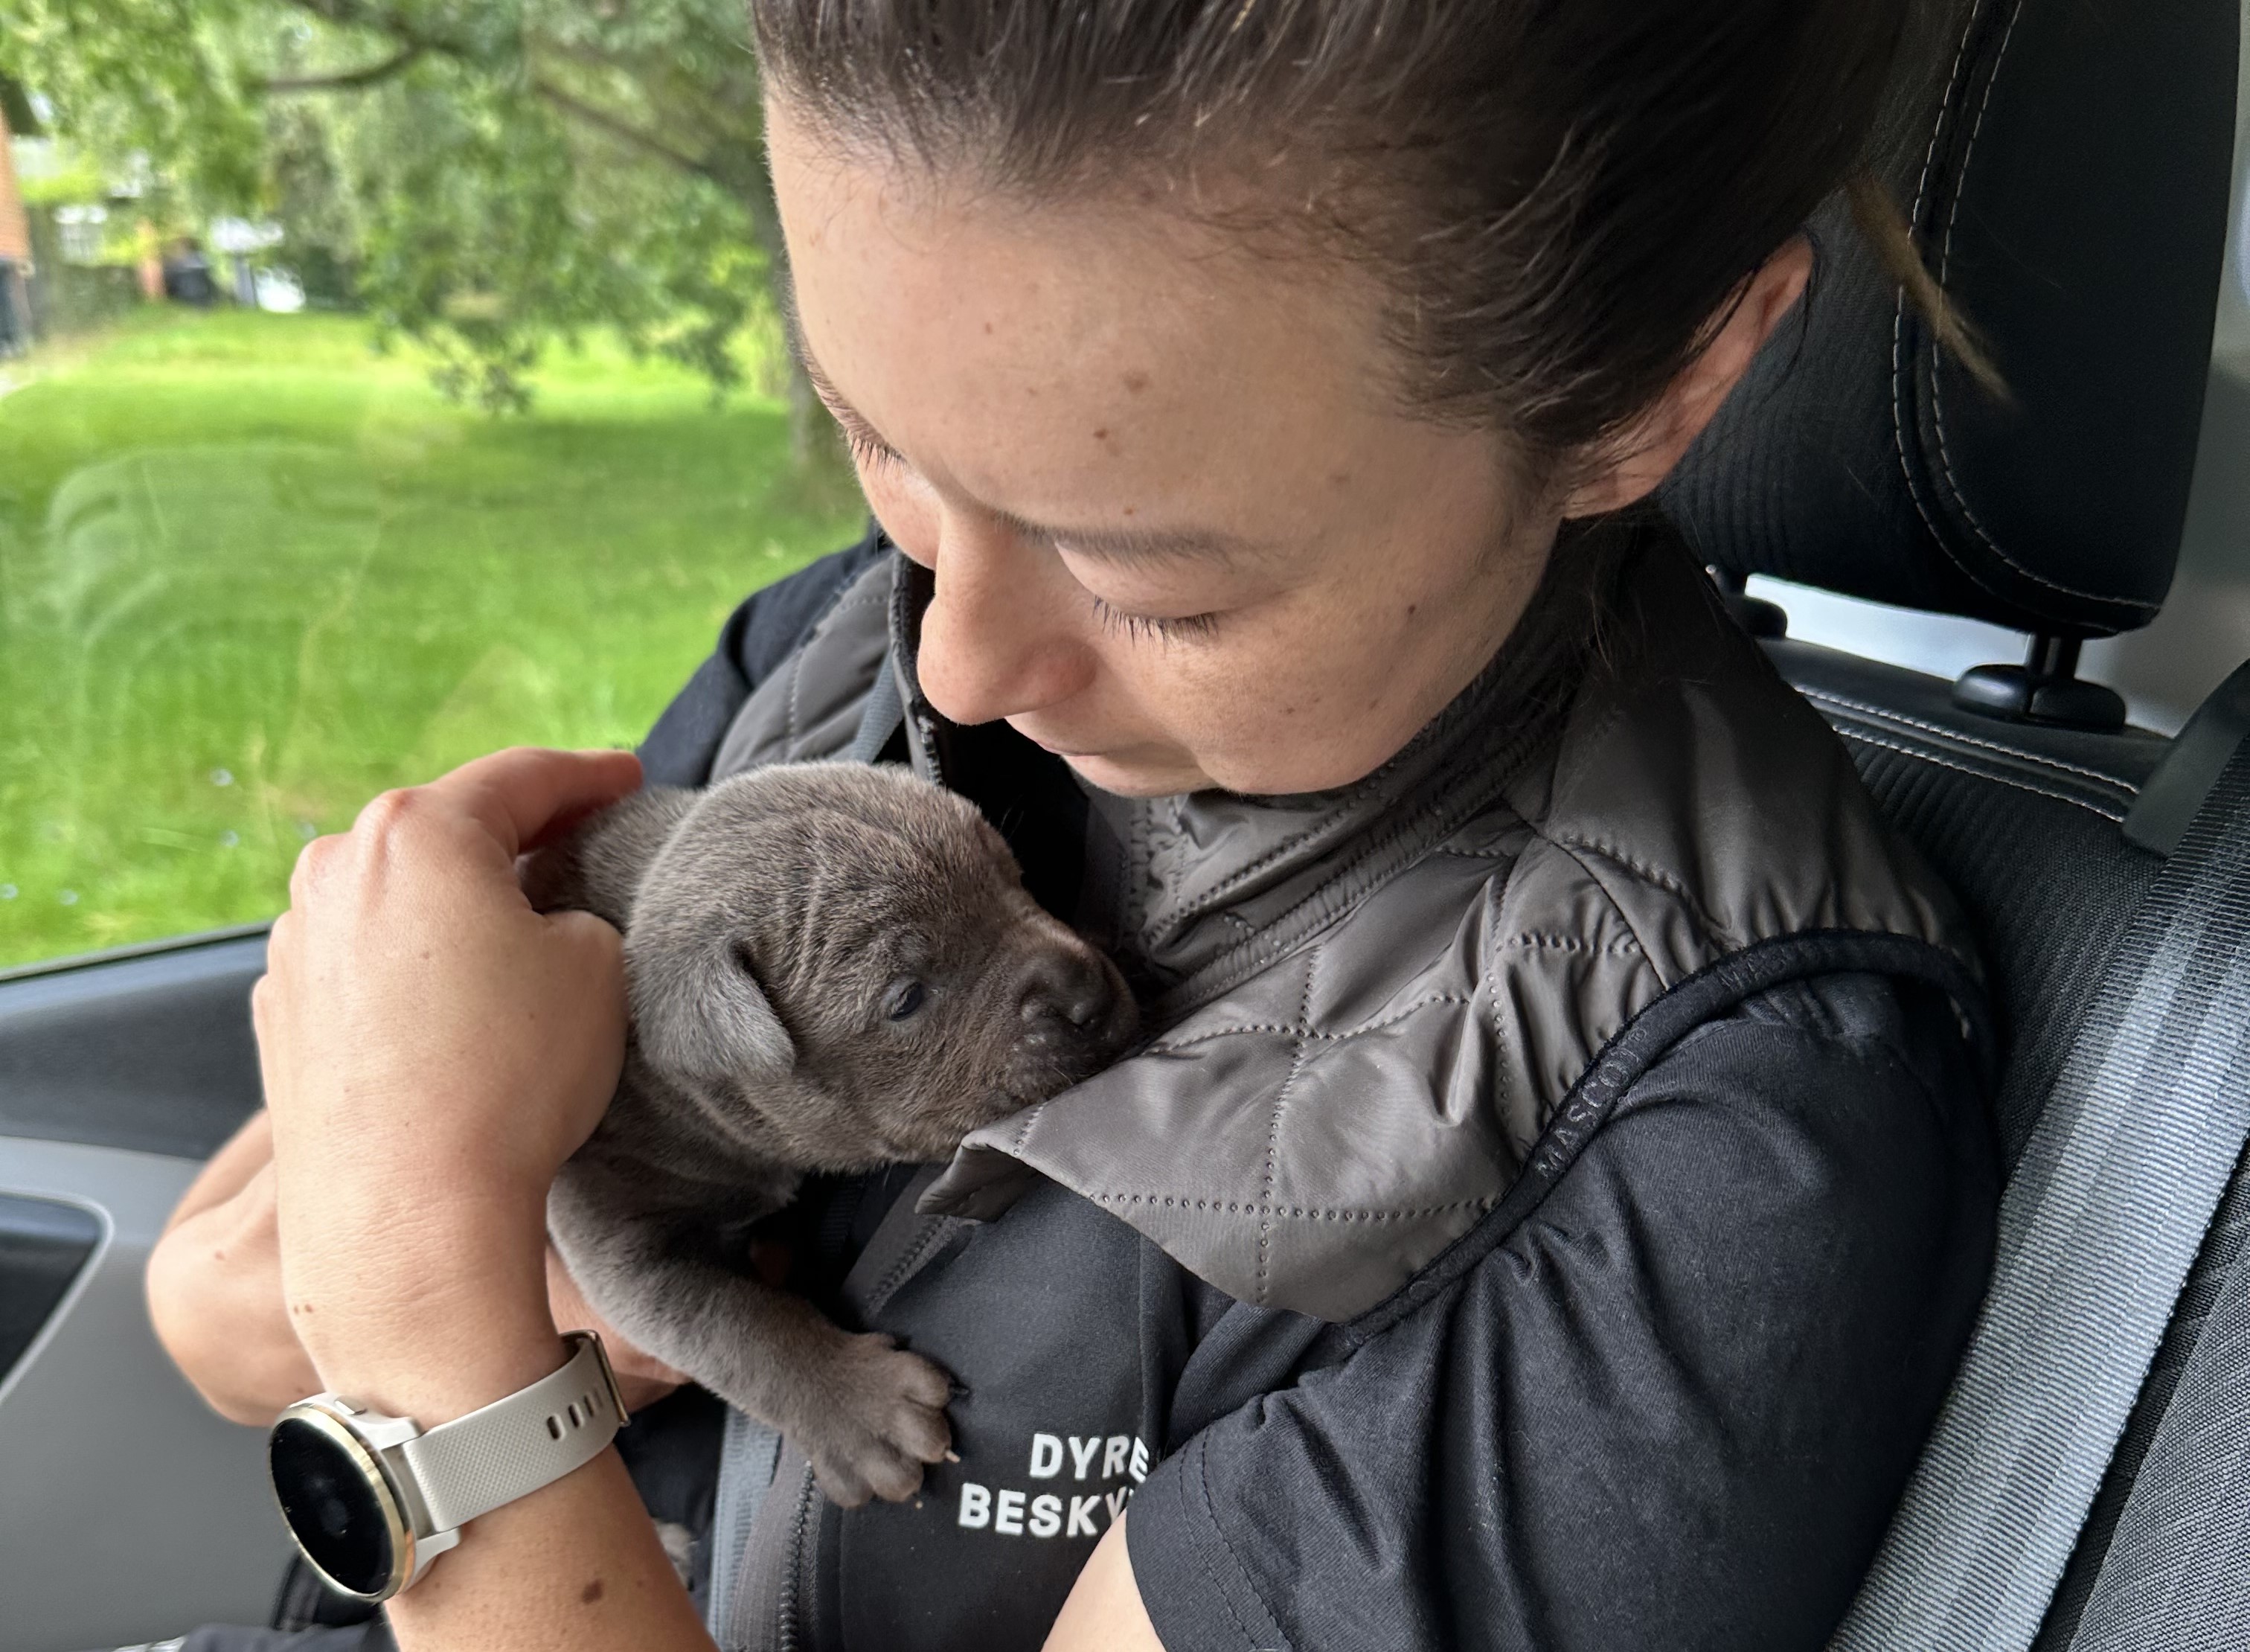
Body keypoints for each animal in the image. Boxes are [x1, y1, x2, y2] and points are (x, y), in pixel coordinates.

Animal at [521, 762, 1137, 1506]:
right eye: (906, 998)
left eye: (1013, 877)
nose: (1087, 998)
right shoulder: (611, 1218)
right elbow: (732, 1321)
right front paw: (864, 1411)